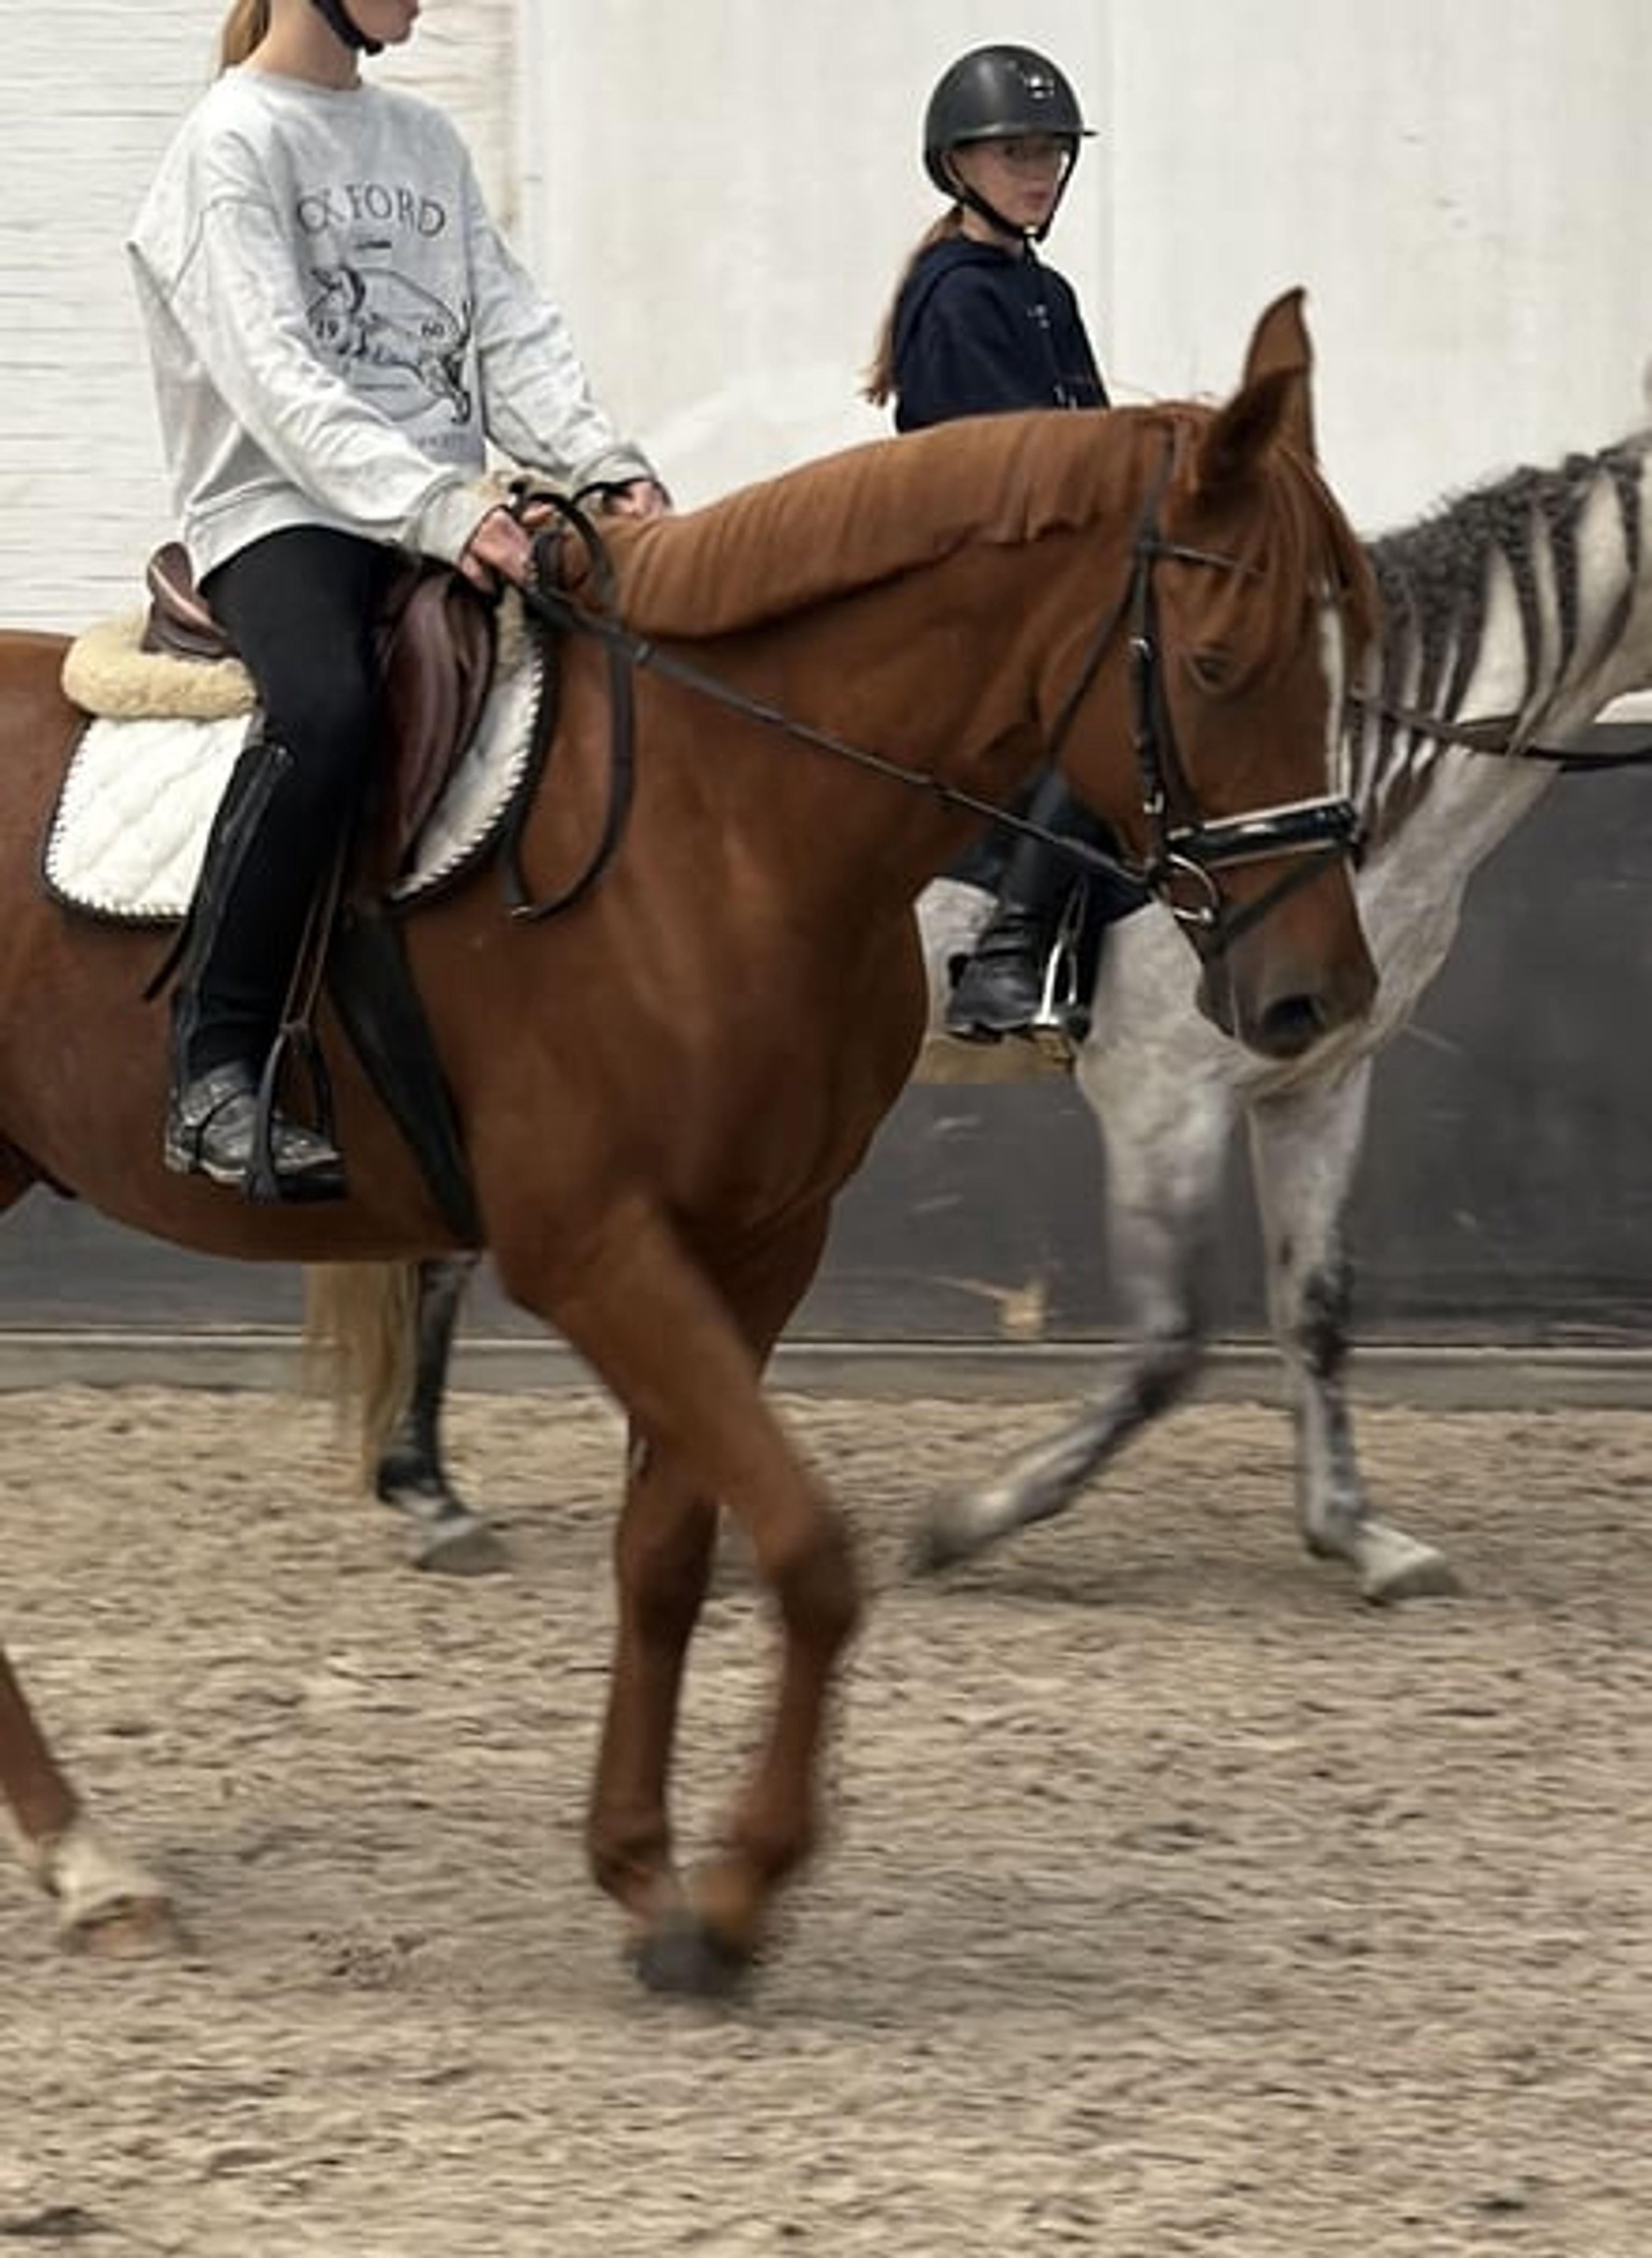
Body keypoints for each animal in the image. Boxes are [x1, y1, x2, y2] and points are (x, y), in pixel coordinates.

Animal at [0, 291, 1378, 1990]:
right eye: (1215, 661)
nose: (1318, 994)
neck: (724, 822)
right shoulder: (597, 1251)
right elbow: (807, 1547)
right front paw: (735, 1890)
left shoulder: (755, 1245)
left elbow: (667, 1552)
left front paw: (648, 1872)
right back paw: (88, 1865)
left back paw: (89, 1859)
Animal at [349, 417, 1652, 1601]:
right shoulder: (1164, 1094)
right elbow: (1166, 1348)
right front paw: (968, 1523)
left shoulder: (1319, 1076)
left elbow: (1318, 1309)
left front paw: (1357, 1531)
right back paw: (441, 1496)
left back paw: (448, 1490)